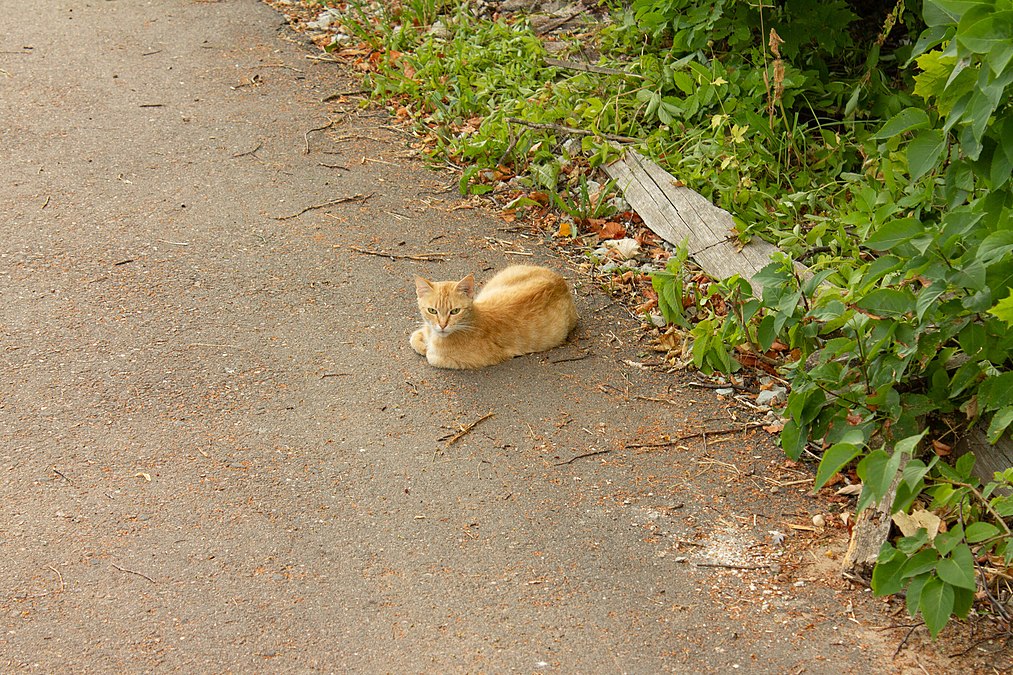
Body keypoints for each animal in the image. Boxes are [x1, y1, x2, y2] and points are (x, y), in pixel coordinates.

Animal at [411, 263, 579, 368]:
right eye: (432, 310)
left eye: (455, 311)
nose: (442, 325)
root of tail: (560, 280)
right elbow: (414, 337)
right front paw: (422, 342)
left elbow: (432, 356)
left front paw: (427, 349)